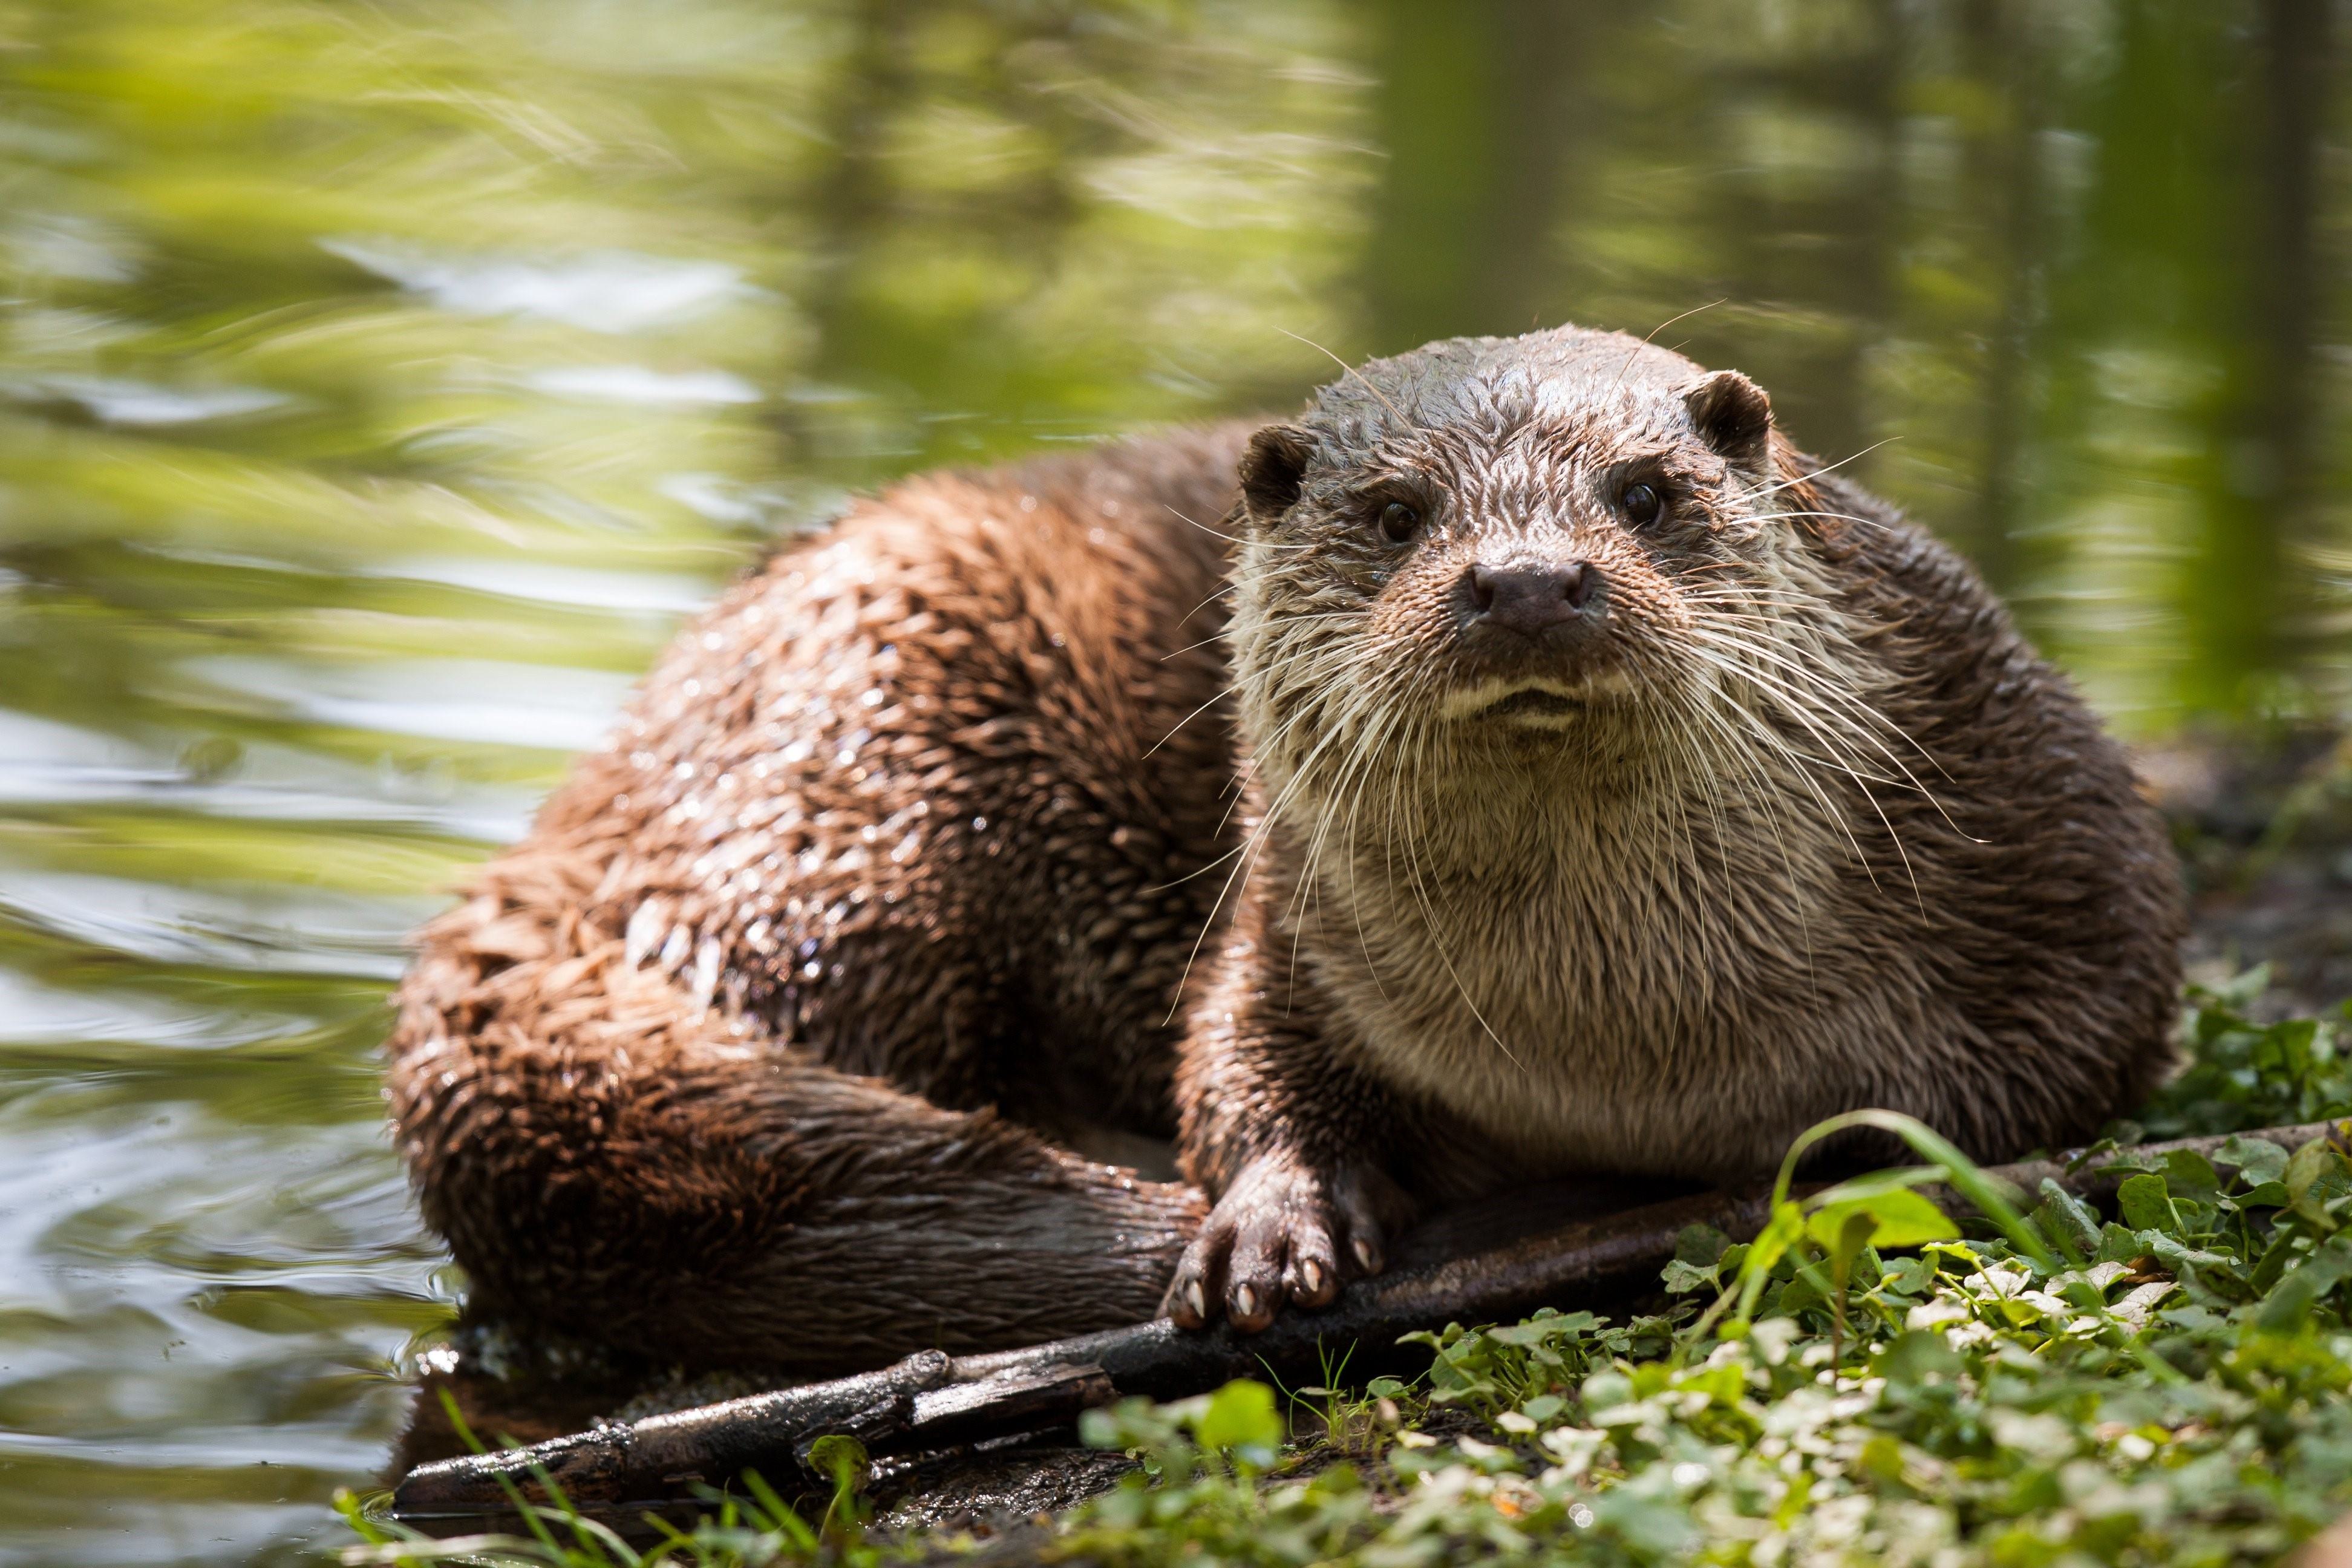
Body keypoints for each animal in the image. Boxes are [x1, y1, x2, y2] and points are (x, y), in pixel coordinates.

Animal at [390, 324, 2183, 1363]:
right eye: (1393, 513)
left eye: (1647, 491)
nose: (1526, 580)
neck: (1623, 1050)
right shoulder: (1280, 929)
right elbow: (1235, 1066)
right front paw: (1268, 1222)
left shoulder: (2061, 842)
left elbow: (2066, 1059)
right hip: (864, 772)